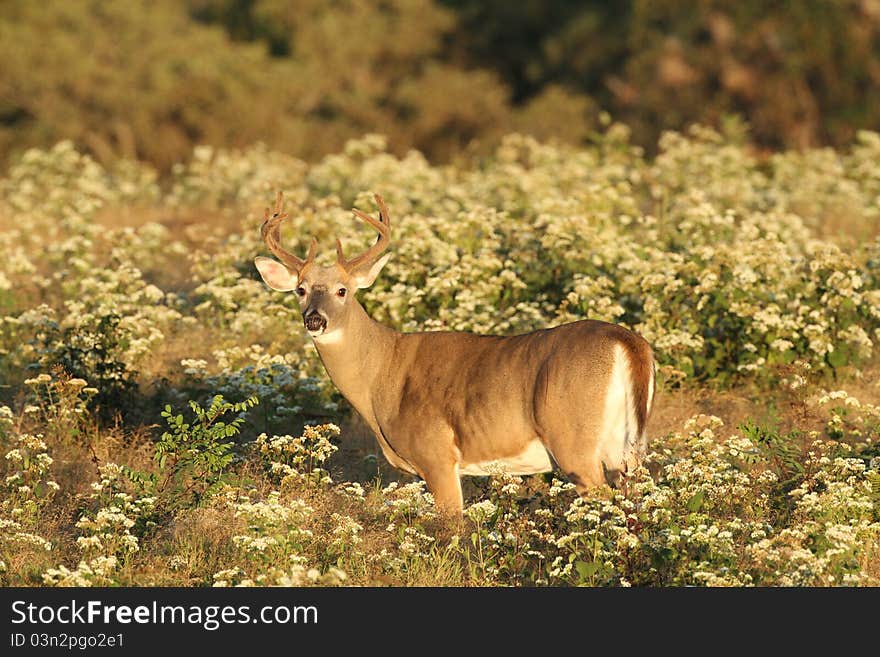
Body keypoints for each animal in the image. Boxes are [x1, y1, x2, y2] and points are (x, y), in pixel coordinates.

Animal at [254, 192, 652, 516]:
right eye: (301, 289)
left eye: (342, 290)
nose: (315, 319)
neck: (382, 374)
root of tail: (627, 343)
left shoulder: (437, 455)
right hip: (629, 447)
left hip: (574, 441)